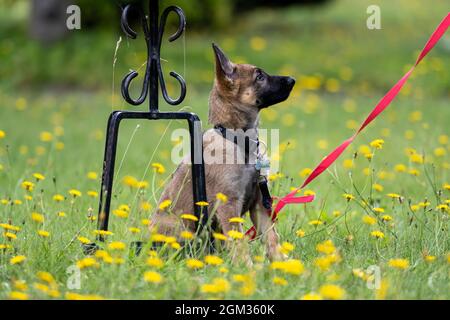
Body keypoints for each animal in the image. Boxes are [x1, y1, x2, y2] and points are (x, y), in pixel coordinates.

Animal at [151, 43, 298, 262]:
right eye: (259, 77)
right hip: (181, 227)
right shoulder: (228, 205)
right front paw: (247, 268)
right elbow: (239, 244)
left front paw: (283, 265)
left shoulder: (260, 204)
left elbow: (272, 239)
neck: (236, 140)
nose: (292, 79)